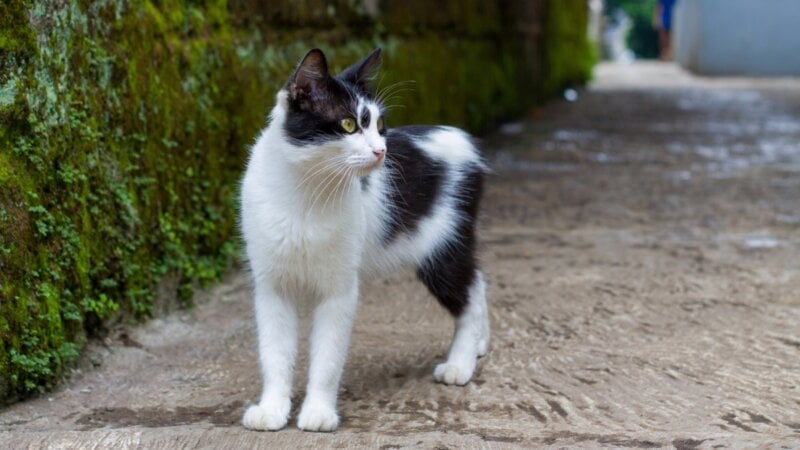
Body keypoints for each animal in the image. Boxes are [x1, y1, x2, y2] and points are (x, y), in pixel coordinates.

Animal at [238, 49, 488, 432]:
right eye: (348, 125)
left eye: (379, 126)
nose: (381, 151)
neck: (307, 193)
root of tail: (462, 137)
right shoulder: (271, 285)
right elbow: (274, 352)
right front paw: (272, 409)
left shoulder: (339, 288)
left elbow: (328, 356)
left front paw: (318, 412)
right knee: (478, 280)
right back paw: (478, 344)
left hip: (443, 246)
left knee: (470, 294)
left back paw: (461, 362)